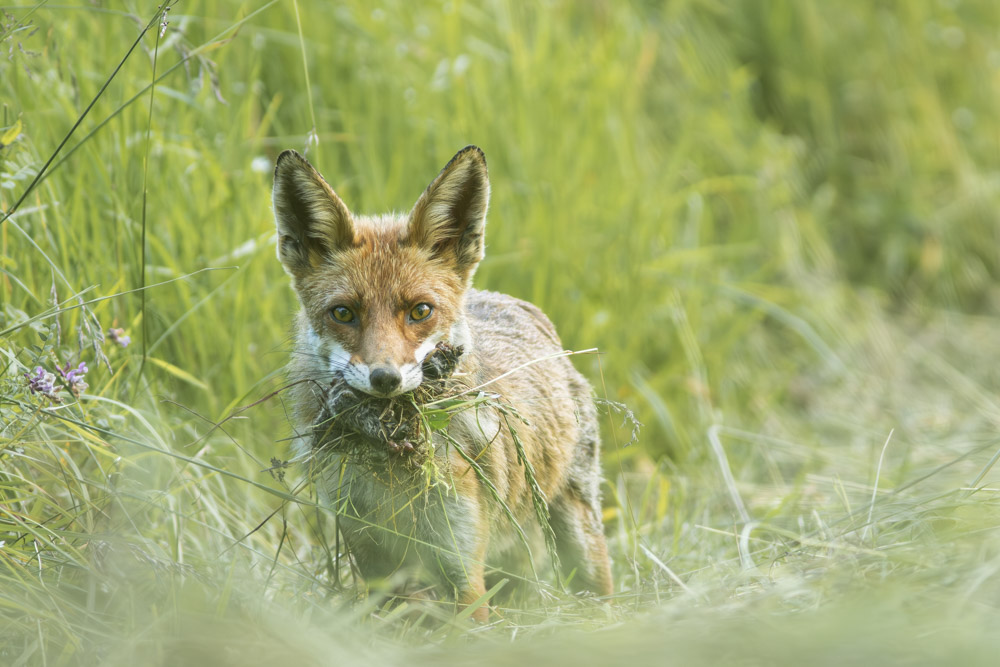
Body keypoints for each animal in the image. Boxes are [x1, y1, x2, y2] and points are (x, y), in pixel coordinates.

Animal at [272, 146, 608, 620]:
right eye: (343, 313)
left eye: (420, 311)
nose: (385, 378)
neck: (392, 481)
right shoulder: (371, 558)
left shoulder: (463, 563)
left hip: (578, 531)